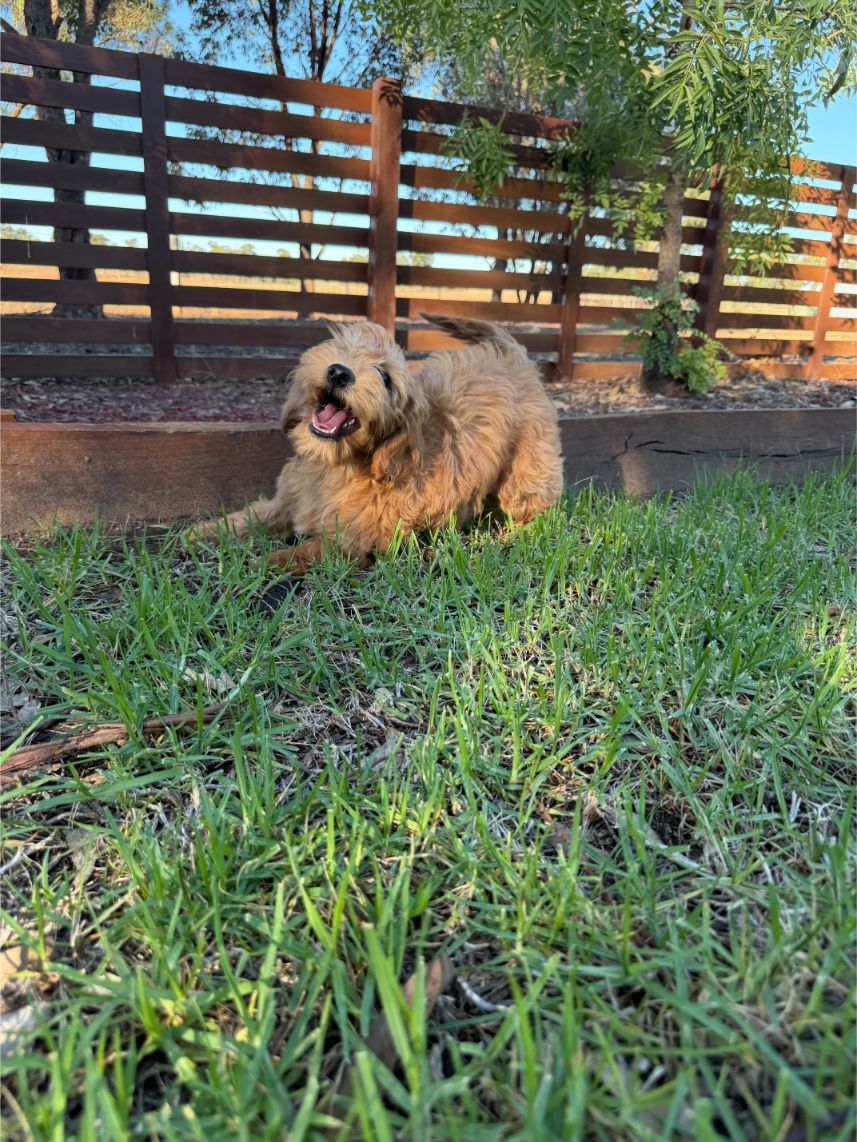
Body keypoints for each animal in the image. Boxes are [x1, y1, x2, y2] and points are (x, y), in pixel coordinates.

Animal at [189, 314, 563, 571]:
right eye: (341, 347)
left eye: (385, 377)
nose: (339, 372)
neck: (338, 464)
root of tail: (514, 358)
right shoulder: (289, 499)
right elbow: (256, 514)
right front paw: (204, 532)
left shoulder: (357, 539)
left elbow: (308, 551)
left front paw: (261, 562)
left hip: (527, 470)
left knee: (531, 505)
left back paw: (513, 537)